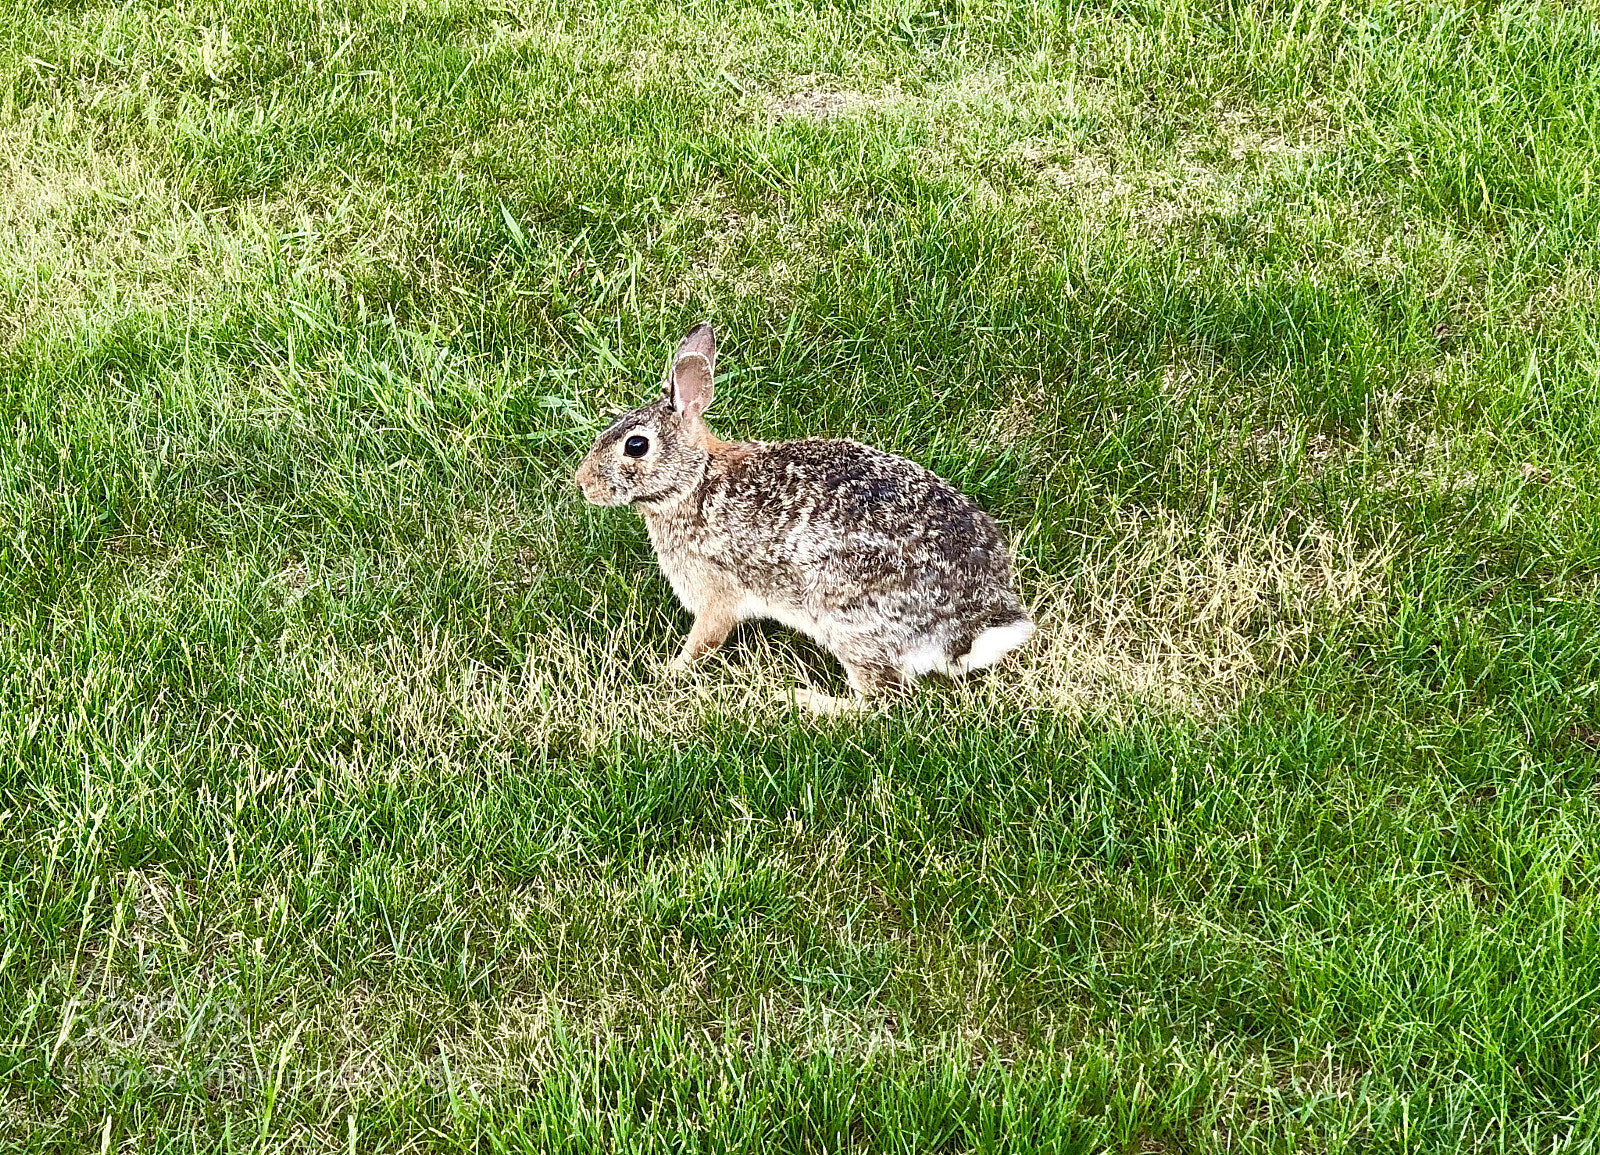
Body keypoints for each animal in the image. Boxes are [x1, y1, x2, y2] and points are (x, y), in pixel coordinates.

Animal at [574, 321, 1034, 708]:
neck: (695, 478)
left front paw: (668, 671)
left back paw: (804, 700)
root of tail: (968, 627)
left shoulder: (715, 593)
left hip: (845, 618)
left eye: (636, 446)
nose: (582, 483)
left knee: (880, 698)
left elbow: (705, 639)